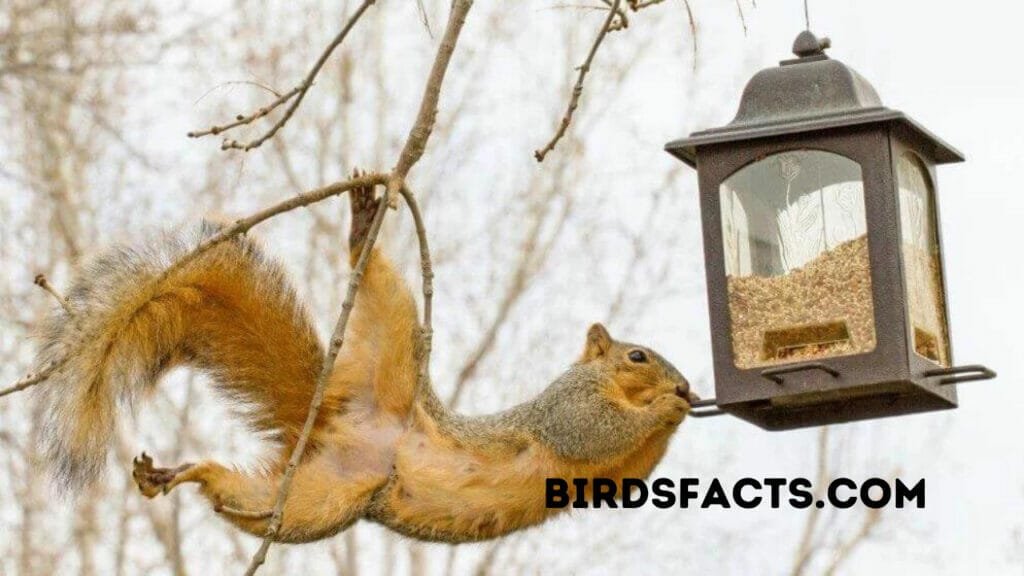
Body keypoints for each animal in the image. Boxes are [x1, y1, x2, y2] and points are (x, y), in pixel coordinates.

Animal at [32, 179, 696, 544]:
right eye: (637, 356)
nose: (687, 386)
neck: (605, 382)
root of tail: (335, 420)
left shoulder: (613, 474)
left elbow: (630, 466)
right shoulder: (565, 408)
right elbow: (593, 431)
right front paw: (667, 407)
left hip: (315, 502)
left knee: (242, 498)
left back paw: (179, 473)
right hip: (394, 341)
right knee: (379, 286)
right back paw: (360, 227)